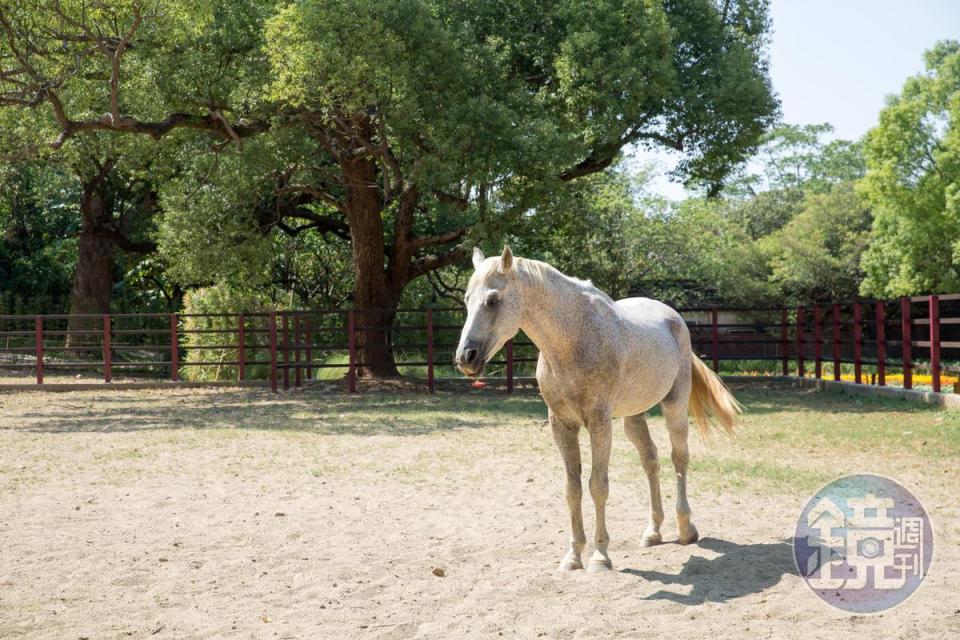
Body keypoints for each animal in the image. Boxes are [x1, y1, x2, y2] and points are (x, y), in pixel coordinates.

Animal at [454, 248, 740, 572]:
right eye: (466, 299)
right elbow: (573, 489)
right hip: (633, 417)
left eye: (493, 300)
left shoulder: (600, 423)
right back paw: (653, 532)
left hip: (674, 407)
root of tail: (674, 318)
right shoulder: (562, 425)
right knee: (650, 459)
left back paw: (685, 529)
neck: (573, 339)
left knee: (679, 458)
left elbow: (598, 486)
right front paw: (573, 557)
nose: (465, 357)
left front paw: (600, 556)